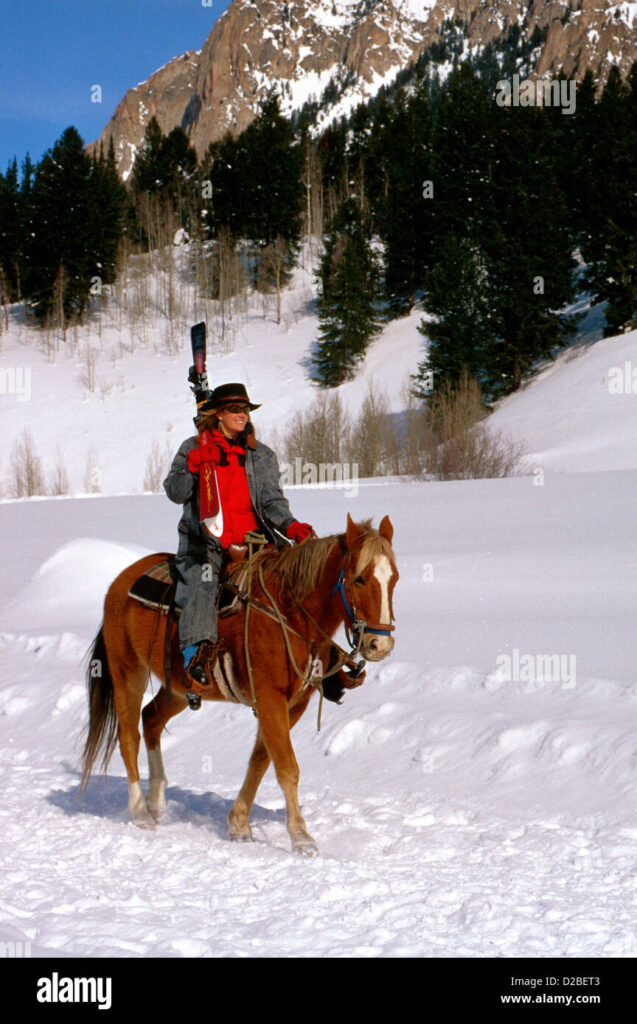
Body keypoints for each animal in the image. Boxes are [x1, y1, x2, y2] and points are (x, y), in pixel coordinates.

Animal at [79, 512, 399, 856]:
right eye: (360, 579)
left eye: (393, 579)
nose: (380, 645)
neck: (290, 614)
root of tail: (119, 582)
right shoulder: (270, 698)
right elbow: (287, 767)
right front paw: (301, 837)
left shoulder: (293, 704)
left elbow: (260, 760)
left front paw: (239, 824)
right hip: (128, 672)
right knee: (128, 737)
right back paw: (140, 811)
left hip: (177, 687)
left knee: (150, 719)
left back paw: (157, 801)